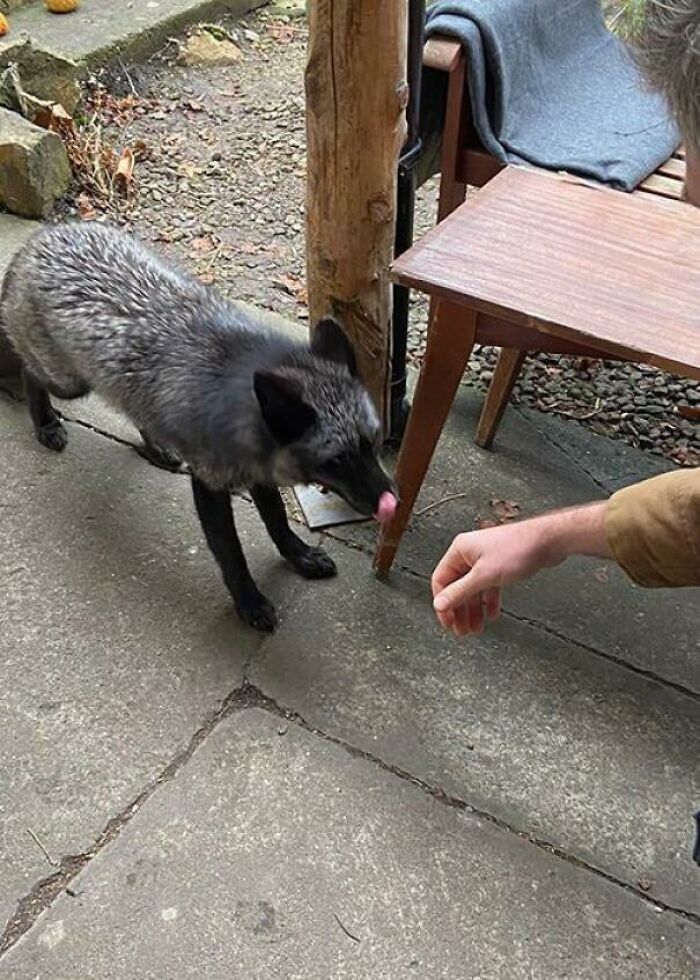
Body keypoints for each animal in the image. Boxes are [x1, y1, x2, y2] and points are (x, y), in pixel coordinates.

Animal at [0, 222, 397, 632]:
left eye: (372, 444)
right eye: (337, 461)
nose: (391, 501)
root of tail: (43, 237)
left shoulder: (257, 470)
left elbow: (277, 521)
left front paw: (298, 555)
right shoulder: (209, 482)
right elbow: (232, 555)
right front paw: (249, 602)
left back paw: (157, 445)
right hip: (69, 382)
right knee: (29, 371)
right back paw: (45, 423)